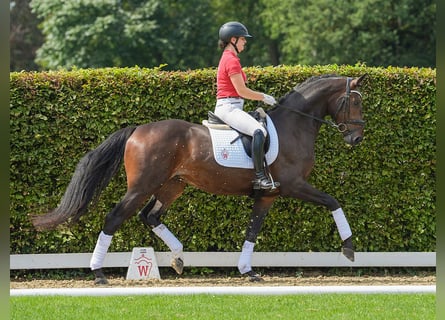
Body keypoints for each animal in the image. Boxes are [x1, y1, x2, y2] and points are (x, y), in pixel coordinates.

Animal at [30, 73, 364, 282]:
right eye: (356, 102)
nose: (357, 139)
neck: (293, 125)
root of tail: (137, 130)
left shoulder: (267, 195)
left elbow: (252, 231)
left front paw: (247, 270)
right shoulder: (293, 186)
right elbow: (333, 202)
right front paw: (348, 248)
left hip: (172, 185)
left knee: (150, 216)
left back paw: (178, 258)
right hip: (142, 185)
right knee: (115, 218)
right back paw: (98, 273)